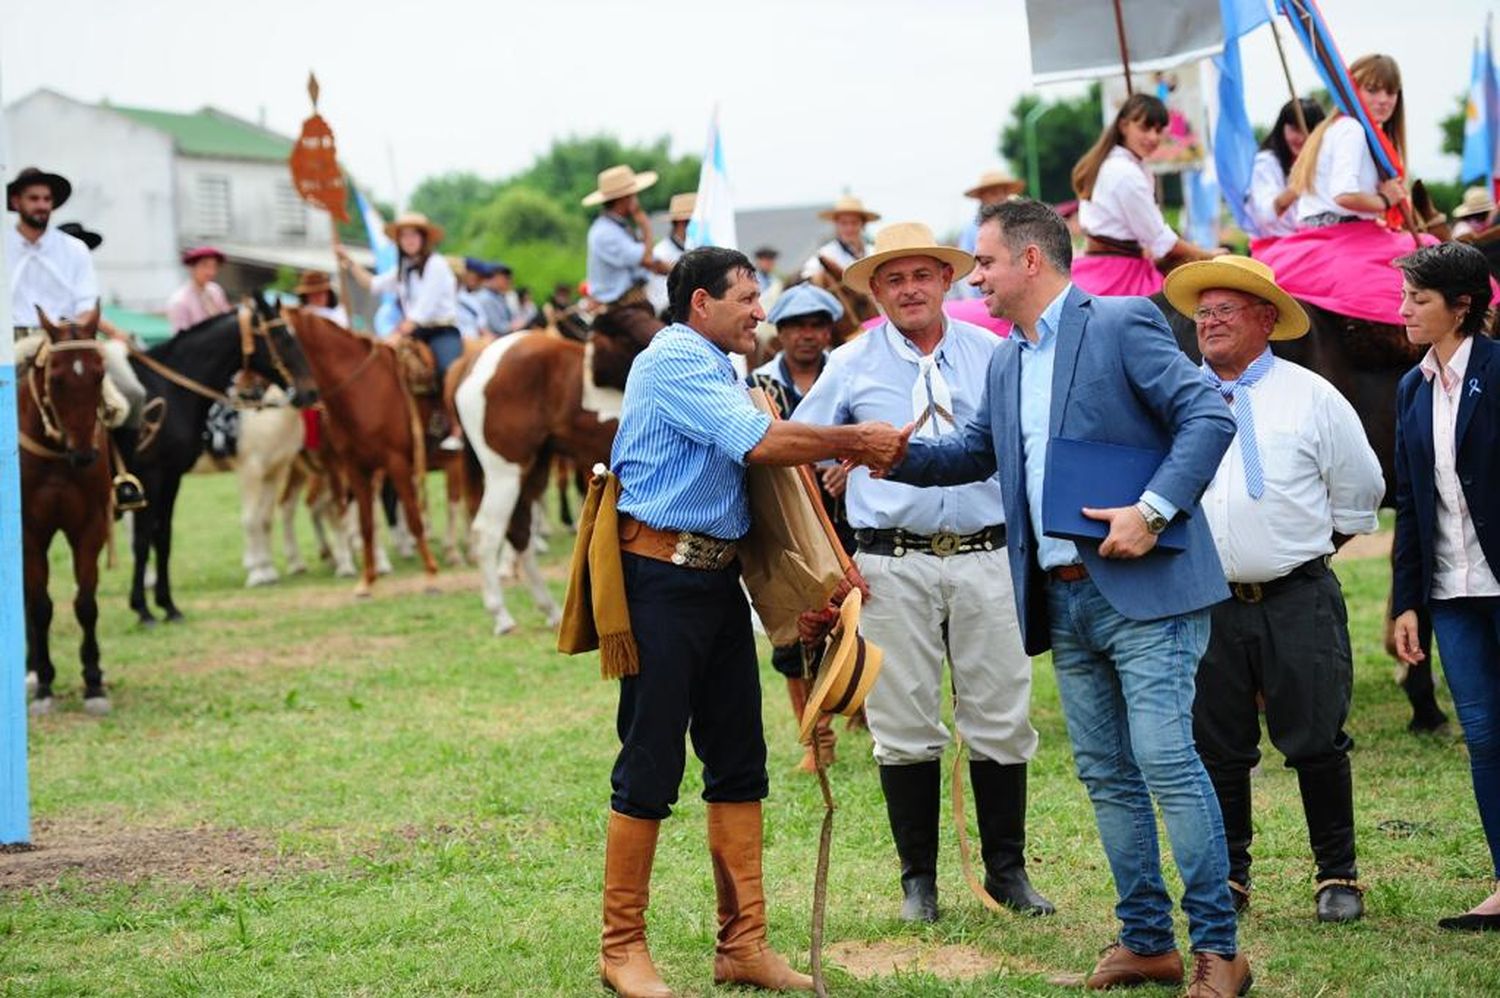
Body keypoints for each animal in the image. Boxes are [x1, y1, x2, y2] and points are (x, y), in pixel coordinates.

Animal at [125, 294, 316, 624]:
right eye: (282, 337)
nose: (310, 392)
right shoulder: (248, 471)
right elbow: (250, 519)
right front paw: (257, 573)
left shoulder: (274, 471)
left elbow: (264, 520)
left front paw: (266, 569)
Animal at [286, 309, 438, 591]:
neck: (364, 390)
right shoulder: (353, 467)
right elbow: (362, 520)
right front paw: (365, 577)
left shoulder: (394, 463)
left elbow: (408, 515)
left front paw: (430, 573)